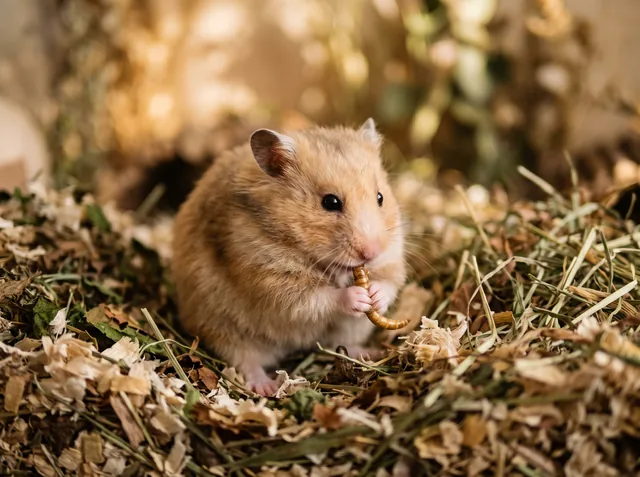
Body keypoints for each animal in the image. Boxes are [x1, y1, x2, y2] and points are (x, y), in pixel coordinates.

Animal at [171, 118, 406, 396]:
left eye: (380, 197)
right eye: (330, 202)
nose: (370, 253)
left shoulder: (392, 255)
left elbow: (389, 282)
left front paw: (375, 296)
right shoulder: (272, 281)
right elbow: (319, 297)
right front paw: (358, 297)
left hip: (350, 329)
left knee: (340, 343)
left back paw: (370, 353)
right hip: (224, 327)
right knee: (245, 360)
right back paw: (266, 387)